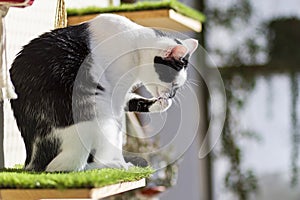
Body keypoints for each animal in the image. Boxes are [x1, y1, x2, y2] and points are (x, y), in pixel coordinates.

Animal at [9, 13, 198, 172]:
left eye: (177, 87)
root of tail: (33, 160)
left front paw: (161, 104)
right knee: (66, 167)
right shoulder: (114, 89)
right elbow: (119, 128)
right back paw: (112, 165)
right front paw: (121, 162)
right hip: (97, 111)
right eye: (173, 83)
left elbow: (132, 100)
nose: (172, 95)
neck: (134, 42)